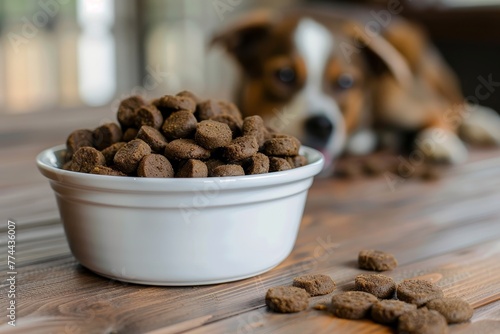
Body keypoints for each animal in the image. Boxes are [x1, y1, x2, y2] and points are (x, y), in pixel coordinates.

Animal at [213, 5, 500, 170]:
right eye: (284, 75)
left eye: (345, 82)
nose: (322, 125)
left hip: (396, 89)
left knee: (443, 107)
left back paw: (449, 138)